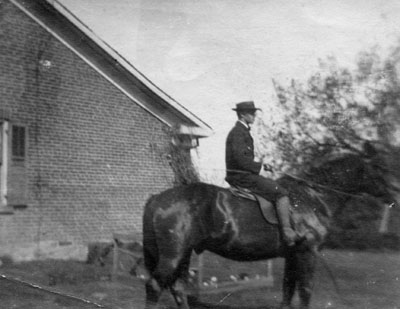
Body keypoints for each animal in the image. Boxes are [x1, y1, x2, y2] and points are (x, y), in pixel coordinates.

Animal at [144, 176, 332, 308]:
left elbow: (288, 290)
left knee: (178, 288)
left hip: (183, 254)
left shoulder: (293, 256)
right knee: (155, 286)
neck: (309, 202)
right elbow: (305, 290)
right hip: (171, 256)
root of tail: (156, 198)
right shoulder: (307, 252)